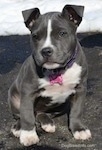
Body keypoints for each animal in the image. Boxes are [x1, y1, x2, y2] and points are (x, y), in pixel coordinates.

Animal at [7, 4, 91, 146]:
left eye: (62, 33)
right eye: (35, 36)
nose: (46, 51)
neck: (57, 70)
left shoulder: (80, 89)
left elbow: (77, 111)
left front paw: (79, 130)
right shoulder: (28, 91)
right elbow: (27, 115)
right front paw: (28, 135)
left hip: (62, 104)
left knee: (41, 113)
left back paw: (47, 123)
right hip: (14, 96)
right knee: (21, 115)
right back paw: (18, 128)